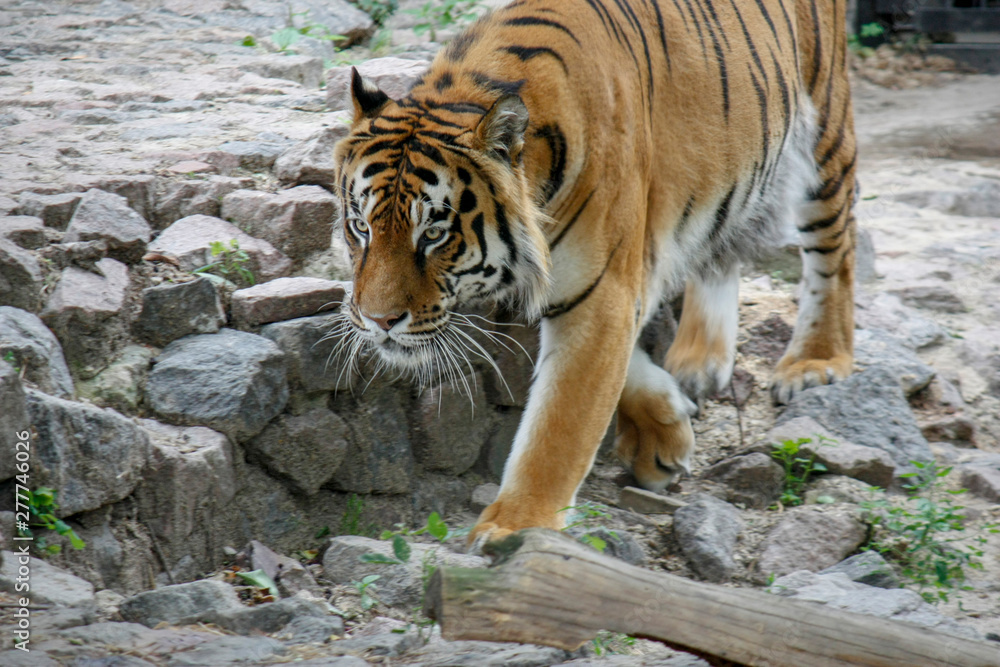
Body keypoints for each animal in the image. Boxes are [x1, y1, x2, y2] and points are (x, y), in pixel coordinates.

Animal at [333, 0, 857, 546]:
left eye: (434, 234)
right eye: (360, 227)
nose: (378, 321)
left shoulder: (602, 293)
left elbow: (560, 423)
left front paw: (514, 526)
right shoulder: (614, 287)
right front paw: (663, 436)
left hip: (824, 128)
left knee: (836, 248)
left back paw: (816, 360)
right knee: (719, 250)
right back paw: (698, 359)